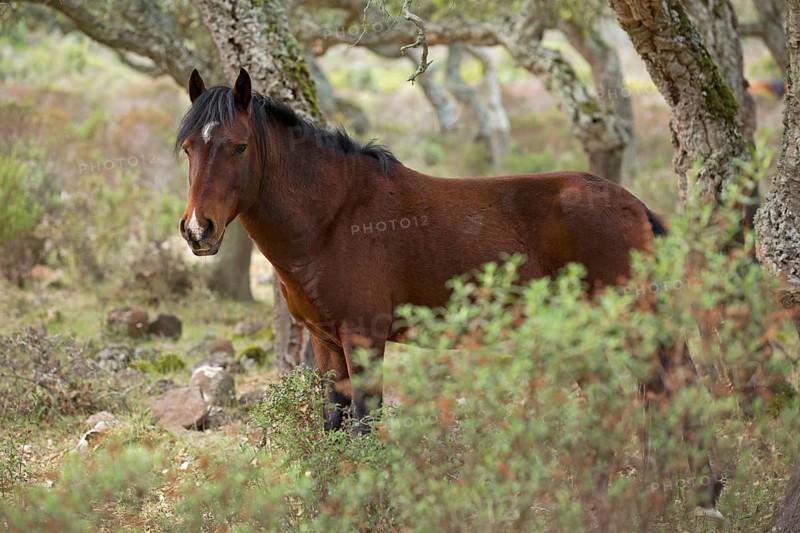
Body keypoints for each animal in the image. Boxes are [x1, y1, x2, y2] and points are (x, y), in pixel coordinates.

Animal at [176, 68, 722, 515]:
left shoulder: (364, 338)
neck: (333, 215)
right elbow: (334, 422)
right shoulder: (325, 340)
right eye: (188, 149)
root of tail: (633, 203)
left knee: (674, 388)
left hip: (632, 322)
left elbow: (366, 424)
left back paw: (702, 499)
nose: (198, 230)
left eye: (239, 146)